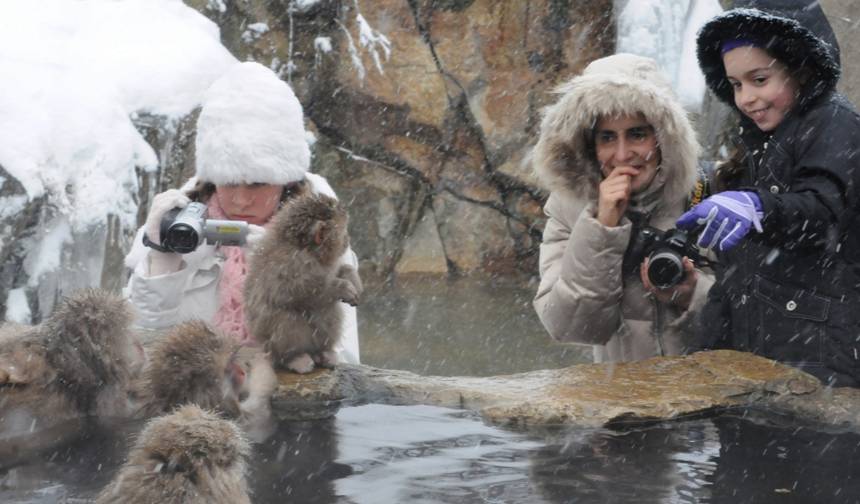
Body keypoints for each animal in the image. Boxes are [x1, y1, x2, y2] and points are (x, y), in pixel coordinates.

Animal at [244, 193, 363, 374]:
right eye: (344, 232)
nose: (347, 240)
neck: (308, 249)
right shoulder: (290, 263)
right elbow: (292, 291)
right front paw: (341, 287)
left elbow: (338, 270)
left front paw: (351, 277)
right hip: (270, 345)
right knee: (287, 316)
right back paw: (294, 358)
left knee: (328, 309)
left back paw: (324, 352)